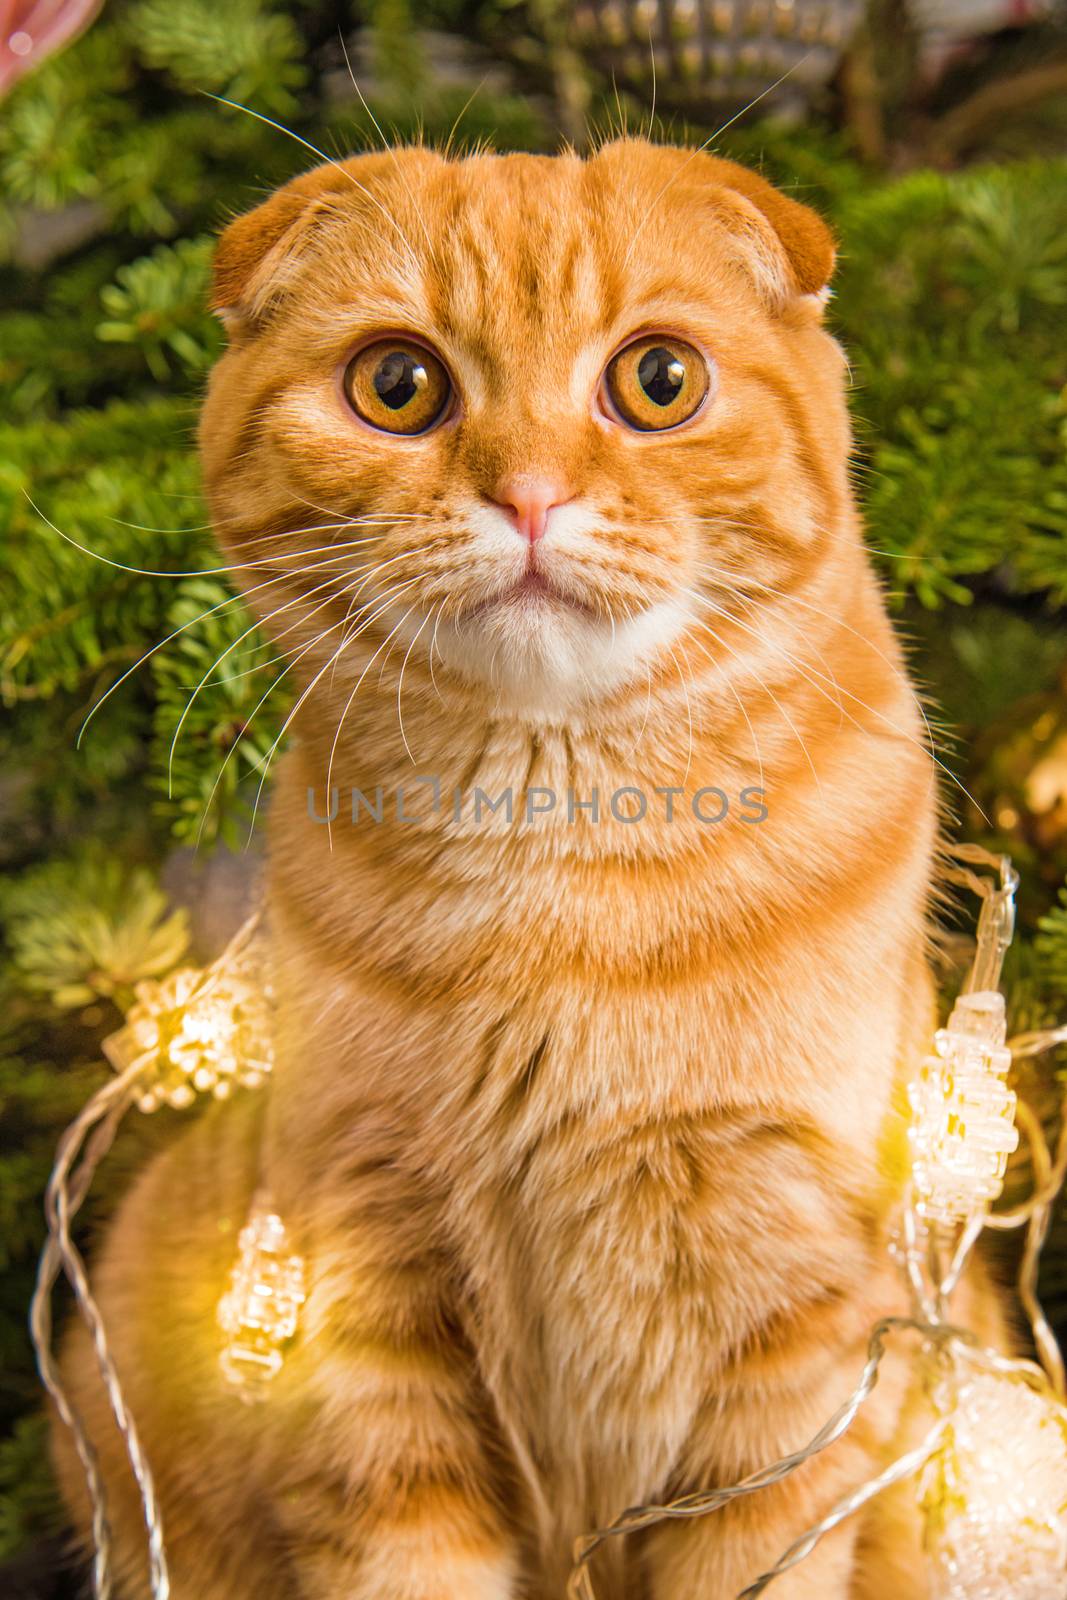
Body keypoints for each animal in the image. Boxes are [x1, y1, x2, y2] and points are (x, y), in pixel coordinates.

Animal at [49, 140, 972, 1600]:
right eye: (397, 384)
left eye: (657, 381)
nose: (528, 494)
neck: (558, 883)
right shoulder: (363, 1287)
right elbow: (403, 1556)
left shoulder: (796, 1331)